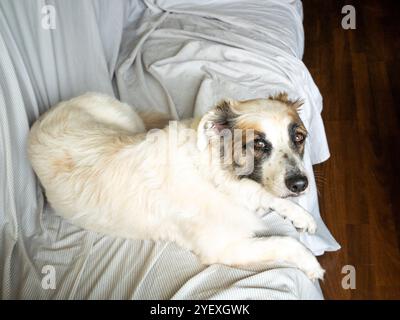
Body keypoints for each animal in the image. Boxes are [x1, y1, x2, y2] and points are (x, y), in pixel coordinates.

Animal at [29, 92, 326, 280]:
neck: (215, 175)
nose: (301, 184)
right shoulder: (224, 248)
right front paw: (311, 263)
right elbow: (285, 241)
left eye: (299, 138)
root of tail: (45, 115)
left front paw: (301, 215)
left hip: (128, 121)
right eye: (259, 144)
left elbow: (274, 198)